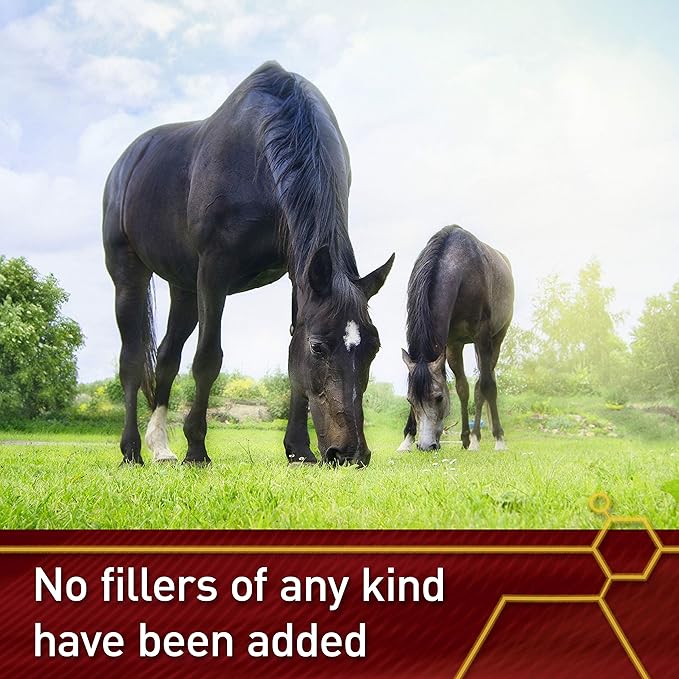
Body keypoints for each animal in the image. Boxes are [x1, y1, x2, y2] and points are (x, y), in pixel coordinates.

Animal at [103, 61, 394, 467]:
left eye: (373, 347)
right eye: (319, 348)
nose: (350, 453)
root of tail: (128, 160)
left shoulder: (297, 275)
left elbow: (290, 359)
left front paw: (298, 449)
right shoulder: (214, 272)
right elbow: (208, 358)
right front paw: (197, 449)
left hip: (184, 288)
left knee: (166, 357)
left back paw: (160, 447)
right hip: (129, 275)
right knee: (131, 361)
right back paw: (131, 450)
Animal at [398, 225, 513, 452]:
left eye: (439, 397)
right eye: (410, 401)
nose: (426, 446)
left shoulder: (483, 336)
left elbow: (487, 387)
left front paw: (496, 440)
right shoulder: (451, 344)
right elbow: (461, 388)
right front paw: (406, 440)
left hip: (496, 340)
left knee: (484, 385)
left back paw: (482, 438)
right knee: (467, 388)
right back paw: (468, 438)